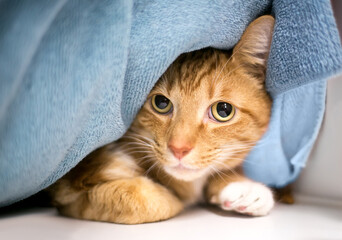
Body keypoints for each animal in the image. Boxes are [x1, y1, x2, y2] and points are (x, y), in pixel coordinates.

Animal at [49, 15, 276, 225]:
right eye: (161, 103)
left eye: (223, 110)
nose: (179, 149)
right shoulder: (68, 188)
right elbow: (145, 201)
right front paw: (172, 197)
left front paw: (242, 186)